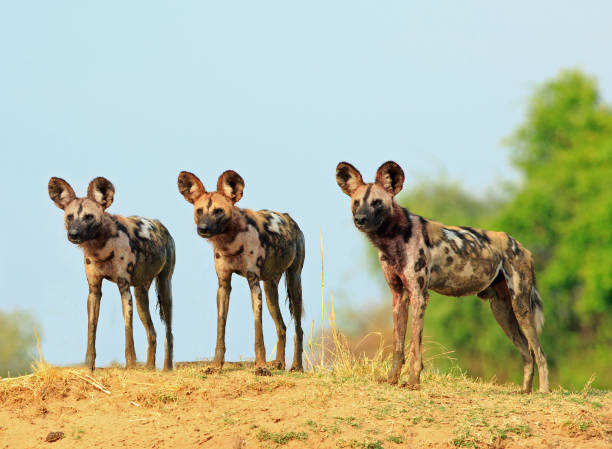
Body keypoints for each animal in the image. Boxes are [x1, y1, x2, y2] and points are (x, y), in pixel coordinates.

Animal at [48, 177, 175, 370]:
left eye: (89, 217)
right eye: (70, 217)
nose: (73, 234)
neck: (100, 249)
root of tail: (161, 225)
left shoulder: (124, 287)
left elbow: (127, 329)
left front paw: (130, 365)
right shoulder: (94, 290)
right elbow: (91, 328)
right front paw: (89, 366)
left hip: (164, 287)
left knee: (169, 332)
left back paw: (167, 368)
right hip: (140, 295)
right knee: (152, 333)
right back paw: (150, 368)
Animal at [177, 169, 304, 374]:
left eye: (218, 211)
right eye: (199, 211)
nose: (203, 228)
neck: (230, 243)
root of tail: (288, 217)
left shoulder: (254, 284)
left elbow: (258, 332)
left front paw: (261, 367)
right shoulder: (223, 286)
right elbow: (220, 329)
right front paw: (215, 366)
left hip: (294, 282)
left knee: (298, 328)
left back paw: (297, 366)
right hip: (270, 290)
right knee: (282, 327)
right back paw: (279, 363)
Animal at [338, 161, 552, 392]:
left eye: (377, 203)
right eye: (357, 202)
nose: (360, 219)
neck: (392, 239)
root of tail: (520, 245)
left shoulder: (419, 295)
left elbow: (415, 348)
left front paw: (413, 382)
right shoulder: (399, 296)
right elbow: (398, 346)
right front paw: (392, 380)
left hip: (521, 307)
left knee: (540, 353)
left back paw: (543, 392)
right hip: (501, 310)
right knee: (527, 353)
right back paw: (524, 392)